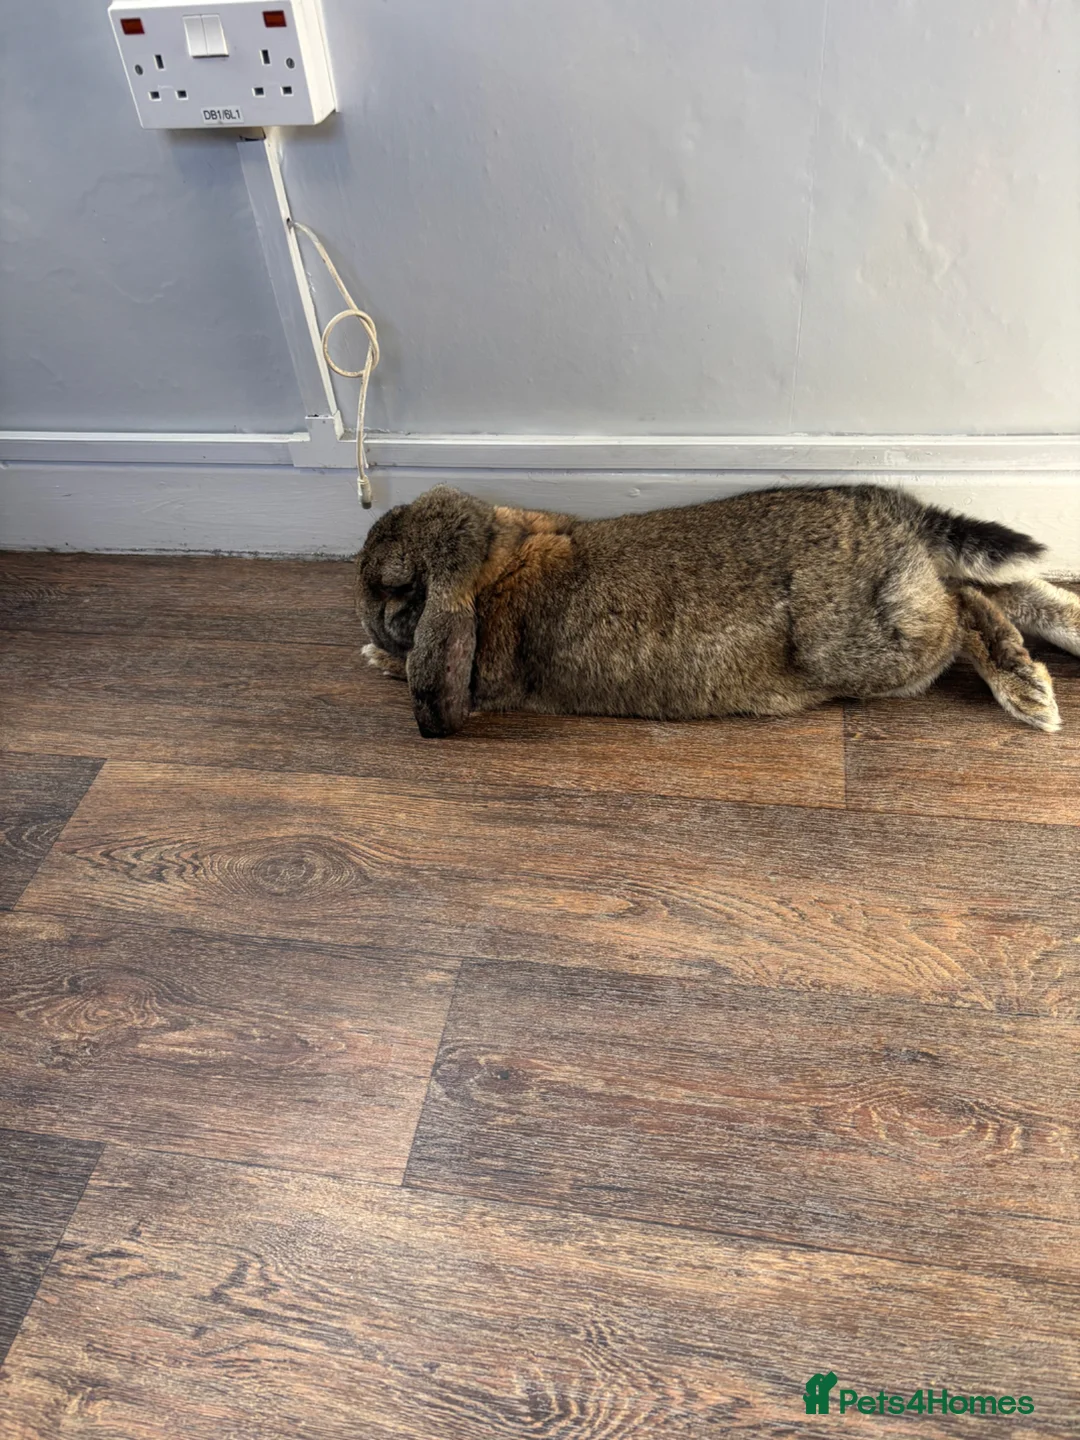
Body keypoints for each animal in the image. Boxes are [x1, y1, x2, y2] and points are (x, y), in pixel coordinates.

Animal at [356, 483, 1079, 738]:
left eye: (393, 588)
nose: (364, 615)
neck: (496, 564)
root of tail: (901, 513)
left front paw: (377, 659)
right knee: (997, 589)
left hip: (870, 648)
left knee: (967, 605)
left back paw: (1028, 691)